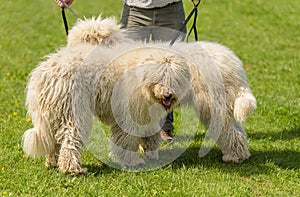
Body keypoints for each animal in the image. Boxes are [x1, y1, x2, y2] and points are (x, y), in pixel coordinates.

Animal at [22, 16, 255, 174]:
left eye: (173, 78)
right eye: (160, 77)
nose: (168, 95)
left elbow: (142, 137)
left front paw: (143, 157)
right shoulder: (134, 112)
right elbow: (132, 138)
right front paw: (136, 160)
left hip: (215, 104)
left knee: (232, 131)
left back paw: (236, 155)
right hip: (65, 112)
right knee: (66, 140)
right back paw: (68, 167)